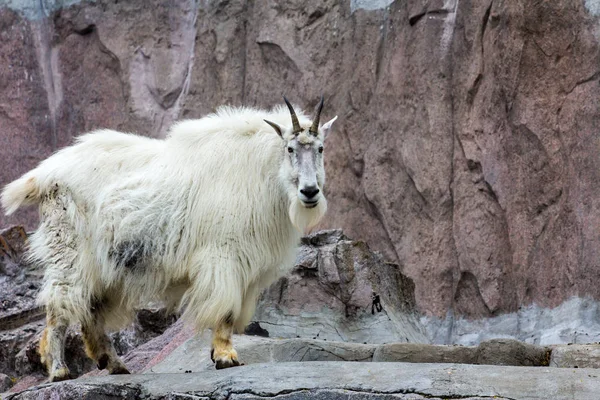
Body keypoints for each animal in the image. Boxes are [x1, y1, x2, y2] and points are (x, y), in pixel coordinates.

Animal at [0, 97, 338, 382]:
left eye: (321, 149)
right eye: (290, 149)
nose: (310, 192)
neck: (261, 171)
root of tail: (42, 175)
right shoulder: (223, 254)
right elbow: (225, 308)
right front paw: (226, 356)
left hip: (103, 264)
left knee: (90, 312)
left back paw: (114, 364)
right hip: (68, 249)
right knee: (60, 305)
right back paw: (59, 369)